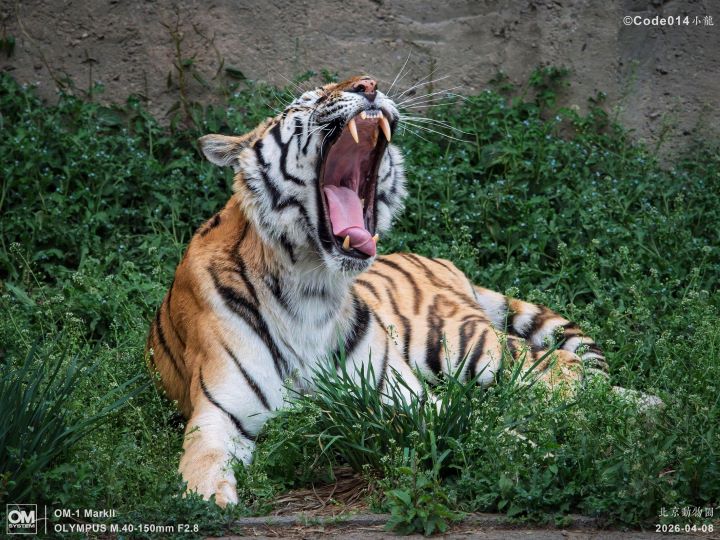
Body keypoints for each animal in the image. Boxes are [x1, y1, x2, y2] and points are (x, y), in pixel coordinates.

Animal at [146, 75, 612, 507]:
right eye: (309, 99)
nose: (368, 84)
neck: (312, 285)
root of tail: (442, 261)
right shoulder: (218, 415)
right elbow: (203, 462)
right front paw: (207, 501)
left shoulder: (406, 397)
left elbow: (485, 427)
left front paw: (542, 457)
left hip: (459, 344)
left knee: (564, 366)